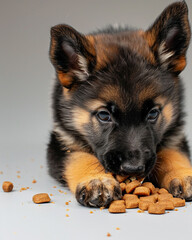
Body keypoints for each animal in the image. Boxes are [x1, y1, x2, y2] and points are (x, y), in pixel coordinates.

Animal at [47, 1, 192, 207]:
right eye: (104, 115)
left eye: (153, 113)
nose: (133, 168)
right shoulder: (62, 141)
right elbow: (79, 157)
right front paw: (97, 180)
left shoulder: (175, 135)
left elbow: (173, 154)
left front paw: (184, 174)